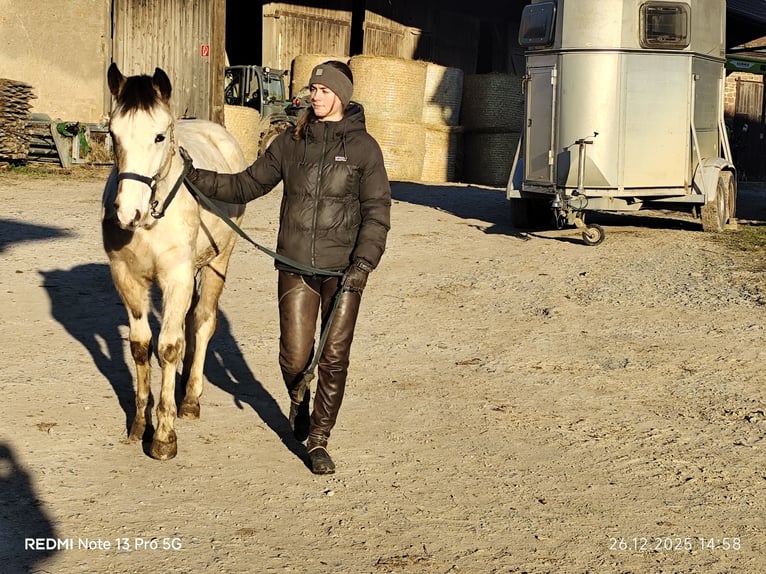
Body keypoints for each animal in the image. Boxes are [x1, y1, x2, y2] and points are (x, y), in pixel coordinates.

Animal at [101, 63, 247, 460]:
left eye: (158, 136)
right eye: (113, 134)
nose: (128, 212)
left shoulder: (177, 277)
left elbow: (168, 347)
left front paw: (165, 435)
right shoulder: (127, 279)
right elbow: (141, 346)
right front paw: (140, 424)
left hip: (217, 263)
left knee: (201, 322)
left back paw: (191, 398)